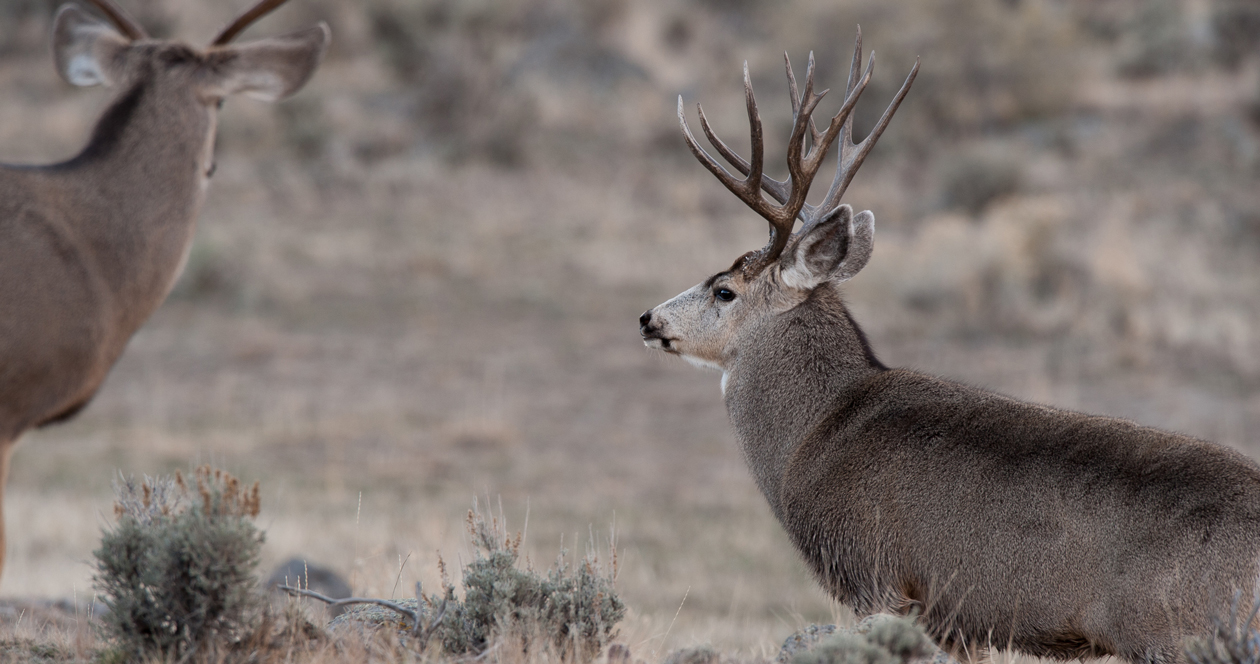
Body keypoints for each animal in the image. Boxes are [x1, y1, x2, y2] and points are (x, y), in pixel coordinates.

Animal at [645, 32, 1260, 664]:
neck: (813, 435)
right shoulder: (953, 623)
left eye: (724, 289)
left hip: (1177, 632)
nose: (648, 319)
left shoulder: (878, 576)